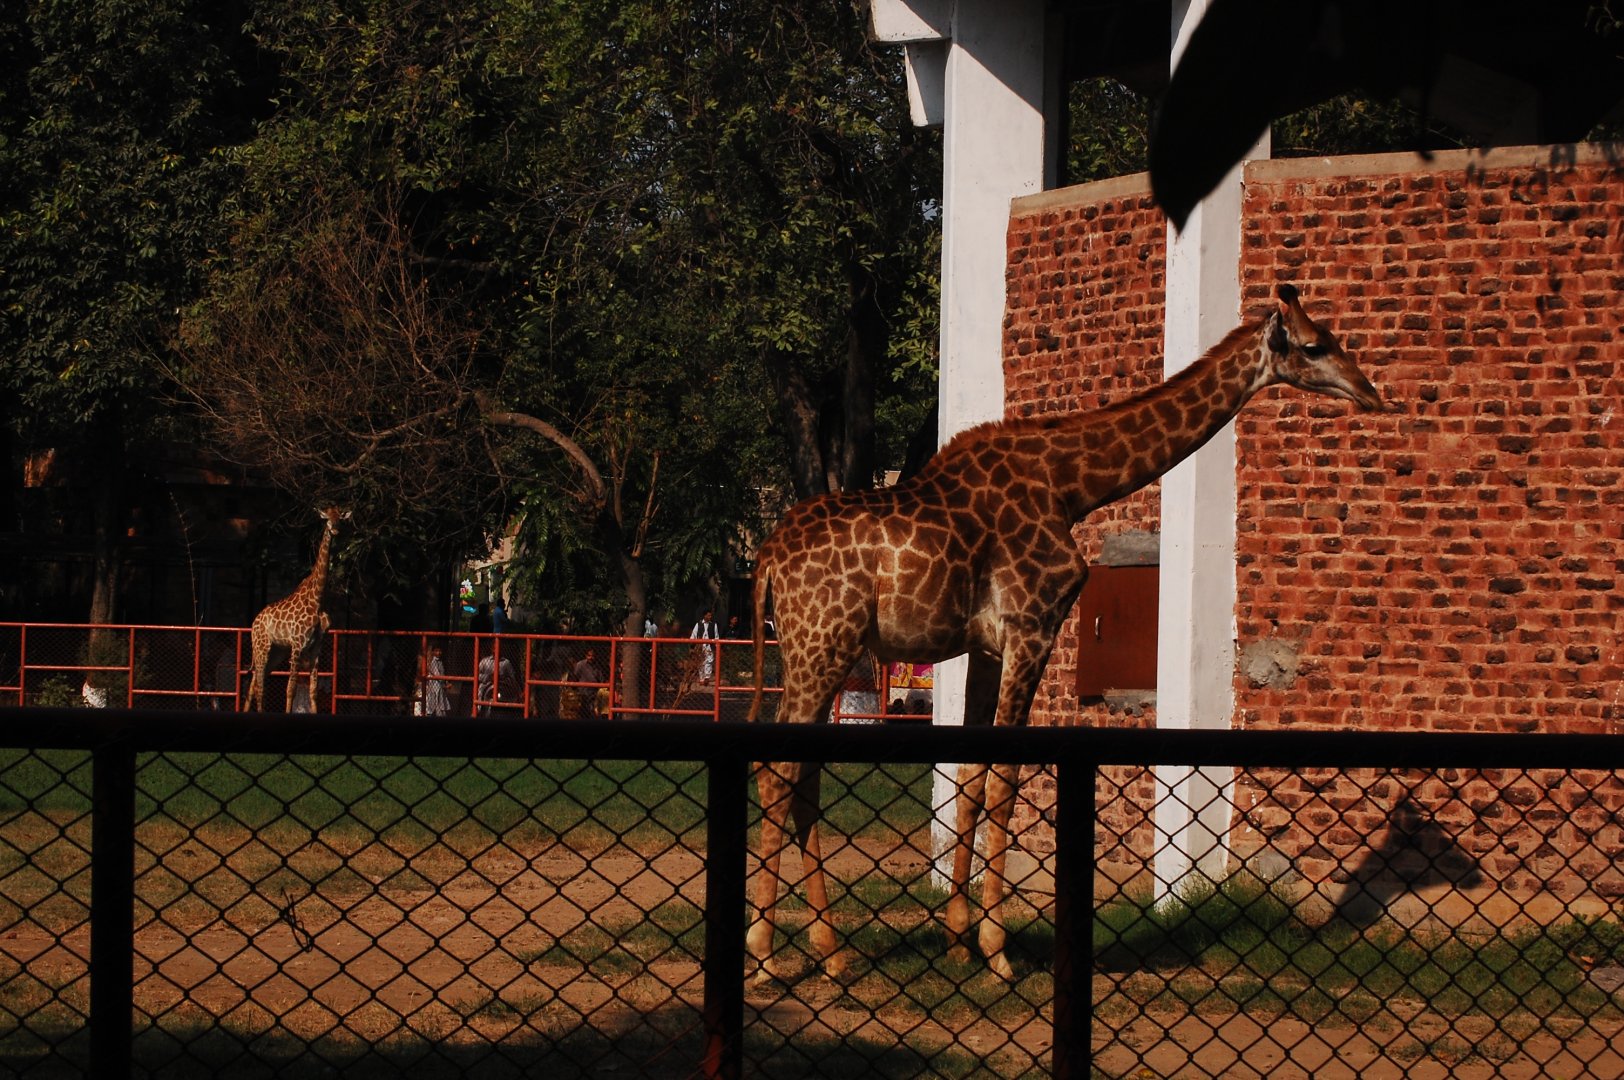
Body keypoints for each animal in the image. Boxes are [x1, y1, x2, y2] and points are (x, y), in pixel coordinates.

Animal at [244, 506, 347, 712]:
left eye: (340, 519)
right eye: (327, 519)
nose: (335, 530)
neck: (318, 600)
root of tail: (254, 622)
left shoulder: (316, 646)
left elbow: (313, 689)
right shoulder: (298, 643)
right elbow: (290, 688)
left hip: (277, 651)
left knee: (256, 682)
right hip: (262, 647)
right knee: (259, 684)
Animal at [746, 284, 1383, 983]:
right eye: (1315, 344)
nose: (1371, 392)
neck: (1070, 486)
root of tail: (767, 558)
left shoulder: (987, 646)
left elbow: (971, 778)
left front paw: (959, 938)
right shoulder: (1034, 627)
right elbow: (1005, 782)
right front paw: (997, 951)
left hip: (820, 652)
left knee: (802, 777)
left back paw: (831, 953)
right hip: (821, 645)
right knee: (779, 772)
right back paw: (766, 954)